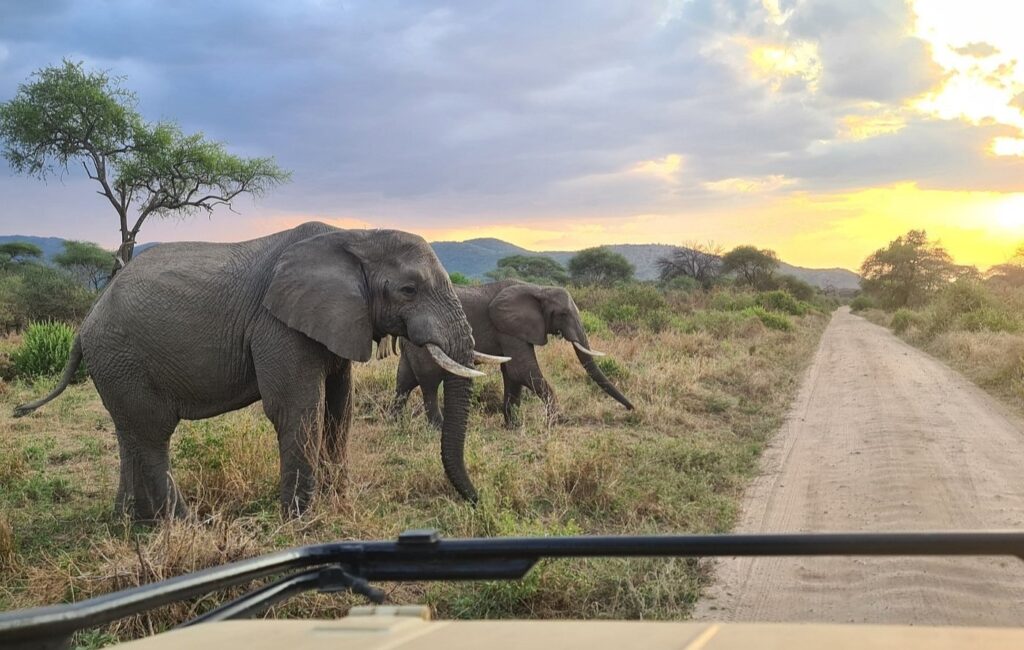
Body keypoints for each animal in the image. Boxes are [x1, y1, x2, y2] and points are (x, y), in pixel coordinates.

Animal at [13, 222, 490, 519]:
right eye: (409, 290)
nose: (475, 501)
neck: (356, 236)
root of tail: (85, 324)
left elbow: (341, 407)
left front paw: (338, 502)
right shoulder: (276, 325)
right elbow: (298, 409)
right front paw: (300, 522)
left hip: (115, 367)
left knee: (129, 433)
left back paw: (132, 525)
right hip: (122, 357)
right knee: (151, 435)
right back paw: (184, 526)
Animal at [392, 280, 634, 427]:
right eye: (563, 314)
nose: (631, 409)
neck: (538, 289)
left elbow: (512, 374)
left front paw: (513, 426)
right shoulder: (508, 328)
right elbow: (522, 370)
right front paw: (556, 422)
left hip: (410, 347)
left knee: (405, 382)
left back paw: (394, 421)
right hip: (423, 344)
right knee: (429, 382)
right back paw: (437, 427)